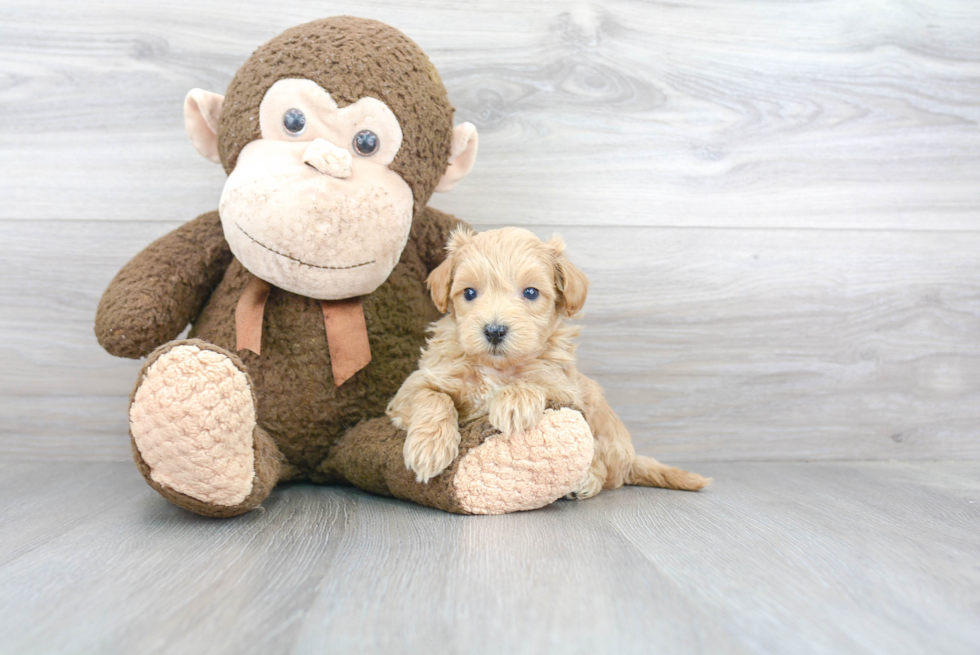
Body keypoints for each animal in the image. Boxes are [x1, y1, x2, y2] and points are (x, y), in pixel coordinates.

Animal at [386, 228, 708, 500]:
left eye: (530, 292)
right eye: (469, 293)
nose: (494, 330)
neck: (497, 368)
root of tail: (631, 458)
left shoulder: (564, 388)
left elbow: (534, 379)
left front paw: (513, 402)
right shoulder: (416, 384)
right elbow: (433, 397)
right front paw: (429, 448)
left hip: (602, 429)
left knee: (605, 472)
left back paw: (585, 482)